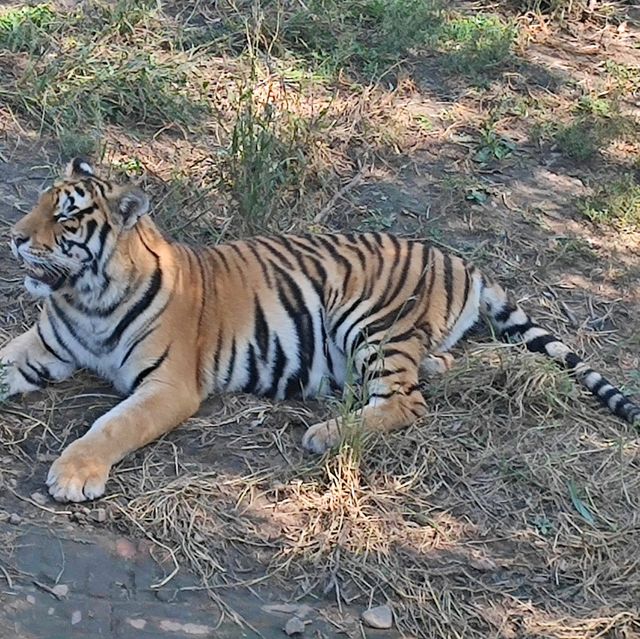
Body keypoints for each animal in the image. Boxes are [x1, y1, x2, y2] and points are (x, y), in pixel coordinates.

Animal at [0, 158, 636, 502]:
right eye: (38, 201)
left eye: (66, 217)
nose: (15, 236)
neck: (86, 295)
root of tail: (461, 260)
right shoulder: (46, 345)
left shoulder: (168, 386)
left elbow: (112, 425)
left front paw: (73, 474)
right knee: (428, 369)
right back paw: (429, 367)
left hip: (366, 317)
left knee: (405, 402)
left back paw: (325, 435)